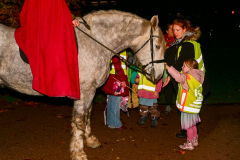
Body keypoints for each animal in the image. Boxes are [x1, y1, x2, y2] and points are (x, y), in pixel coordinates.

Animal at [0, 10, 165, 159]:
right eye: (157, 46)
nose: (159, 76)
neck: (94, 42)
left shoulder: (91, 91)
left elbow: (88, 115)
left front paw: (90, 140)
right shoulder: (84, 91)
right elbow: (79, 119)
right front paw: (78, 152)